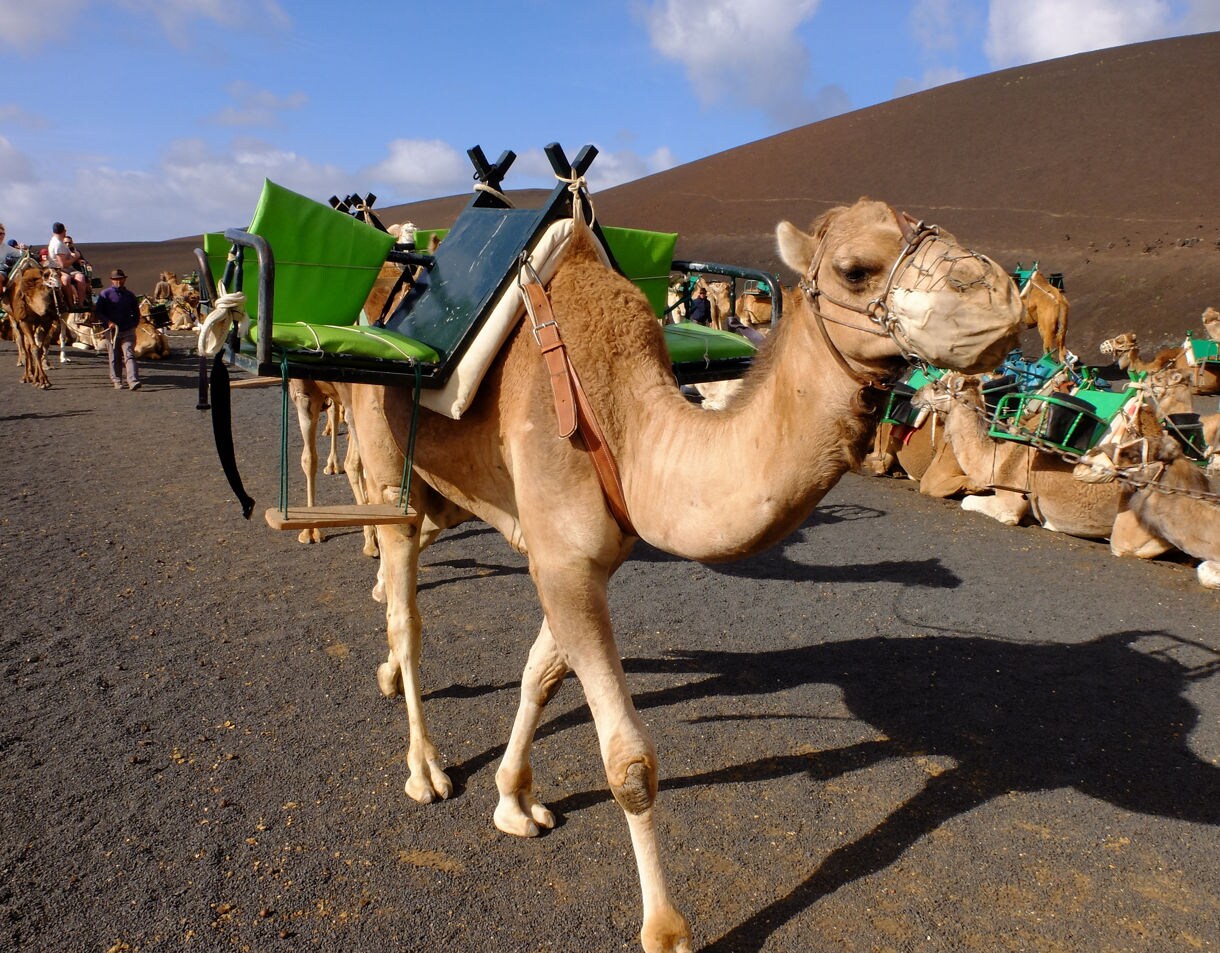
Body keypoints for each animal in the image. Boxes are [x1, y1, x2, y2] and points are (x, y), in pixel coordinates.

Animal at [317, 198, 1022, 953]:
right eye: (854, 269)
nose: (999, 295)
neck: (627, 430)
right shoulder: (564, 558)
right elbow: (629, 762)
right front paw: (666, 930)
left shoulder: (576, 560)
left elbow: (541, 674)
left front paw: (514, 799)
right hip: (383, 445)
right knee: (406, 606)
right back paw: (424, 766)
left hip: (442, 489)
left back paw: (388, 674)